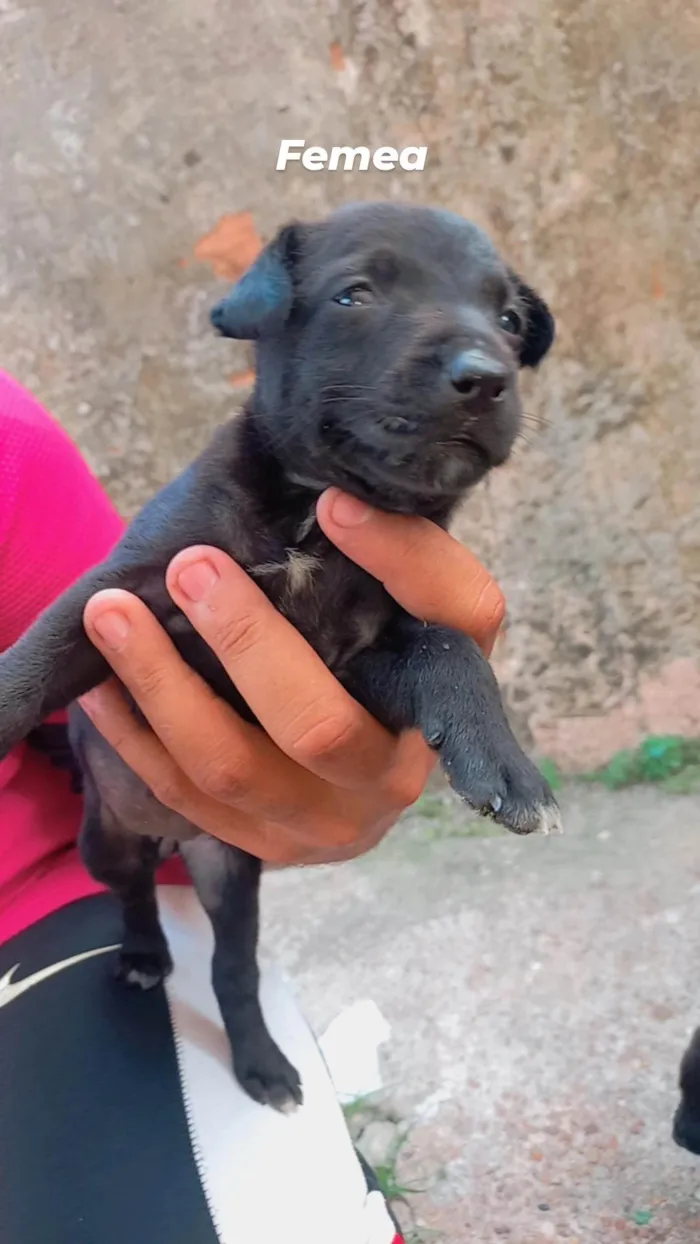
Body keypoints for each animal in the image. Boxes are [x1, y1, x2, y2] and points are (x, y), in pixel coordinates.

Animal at [0, 201, 561, 1109]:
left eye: (509, 321)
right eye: (354, 294)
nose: (485, 375)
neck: (311, 514)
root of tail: (168, 838)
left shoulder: (357, 656)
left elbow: (447, 648)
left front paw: (507, 766)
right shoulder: (125, 592)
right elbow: (36, 655)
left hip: (230, 875)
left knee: (233, 970)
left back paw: (261, 1062)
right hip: (105, 840)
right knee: (133, 897)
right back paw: (145, 955)